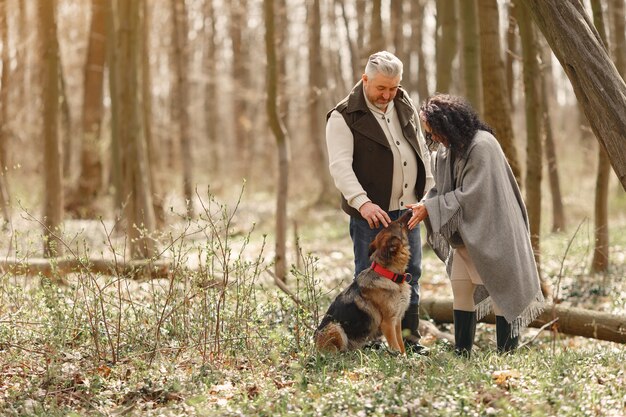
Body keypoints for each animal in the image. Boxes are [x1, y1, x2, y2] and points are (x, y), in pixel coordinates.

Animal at [314, 211, 412, 352]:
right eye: (399, 224)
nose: (410, 211)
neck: (388, 275)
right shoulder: (388, 323)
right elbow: (396, 347)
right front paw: (398, 357)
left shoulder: (397, 321)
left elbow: (401, 345)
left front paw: (405, 357)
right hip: (335, 327)